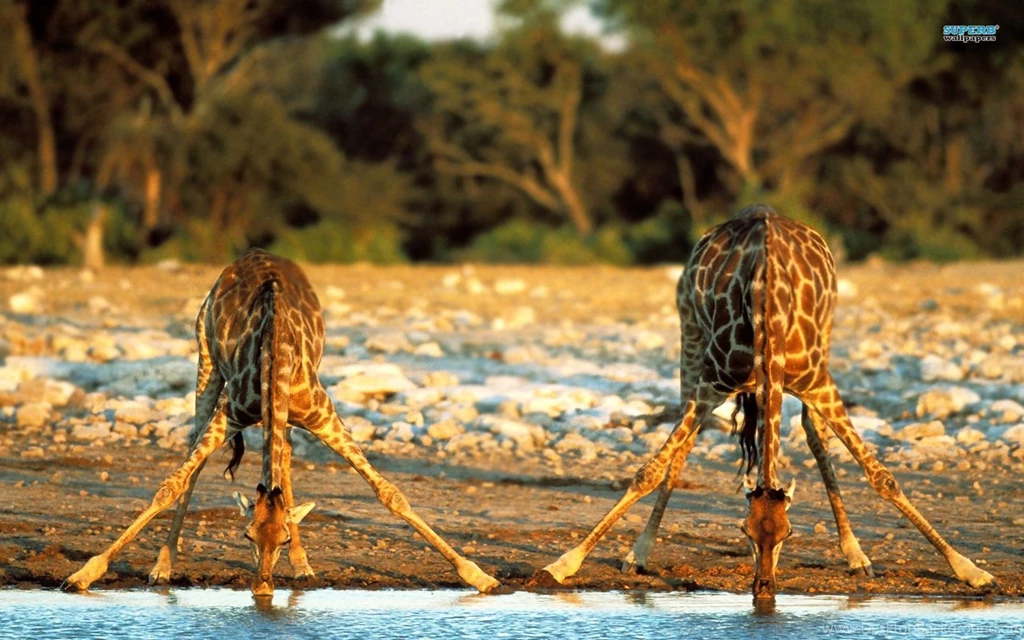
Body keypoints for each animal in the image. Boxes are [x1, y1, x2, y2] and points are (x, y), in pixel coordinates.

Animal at [62, 249, 501, 596]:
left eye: (283, 536)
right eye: (246, 535)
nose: (262, 588)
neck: (275, 355)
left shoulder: (323, 414)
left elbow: (390, 494)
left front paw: (479, 576)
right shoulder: (230, 413)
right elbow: (171, 486)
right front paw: (84, 574)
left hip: (280, 410)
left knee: (284, 457)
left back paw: (303, 565)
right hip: (206, 360)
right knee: (197, 454)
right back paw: (163, 567)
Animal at [533, 204, 996, 597]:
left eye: (789, 533)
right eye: (744, 531)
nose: (764, 589)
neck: (767, 309)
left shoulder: (818, 382)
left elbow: (882, 477)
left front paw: (971, 570)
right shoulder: (710, 383)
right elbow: (648, 470)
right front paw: (564, 563)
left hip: (823, 346)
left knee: (813, 433)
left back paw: (856, 555)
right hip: (690, 338)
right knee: (685, 443)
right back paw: (640, 552)